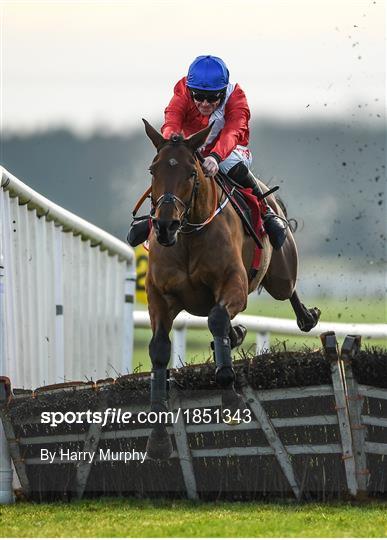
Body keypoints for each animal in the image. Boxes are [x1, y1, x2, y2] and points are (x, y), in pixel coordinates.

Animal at [142, 119, 322, 460]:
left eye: (191, 172)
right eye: (153, 169)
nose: (165, 226)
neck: (189, 236)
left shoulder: (233, 284)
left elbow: (217, 318)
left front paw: (229, 394)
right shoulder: (160, 297)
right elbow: (159, 349)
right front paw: (157, 436)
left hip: (280, 276)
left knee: (287, 290)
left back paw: (307, 316)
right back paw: (235, 335)